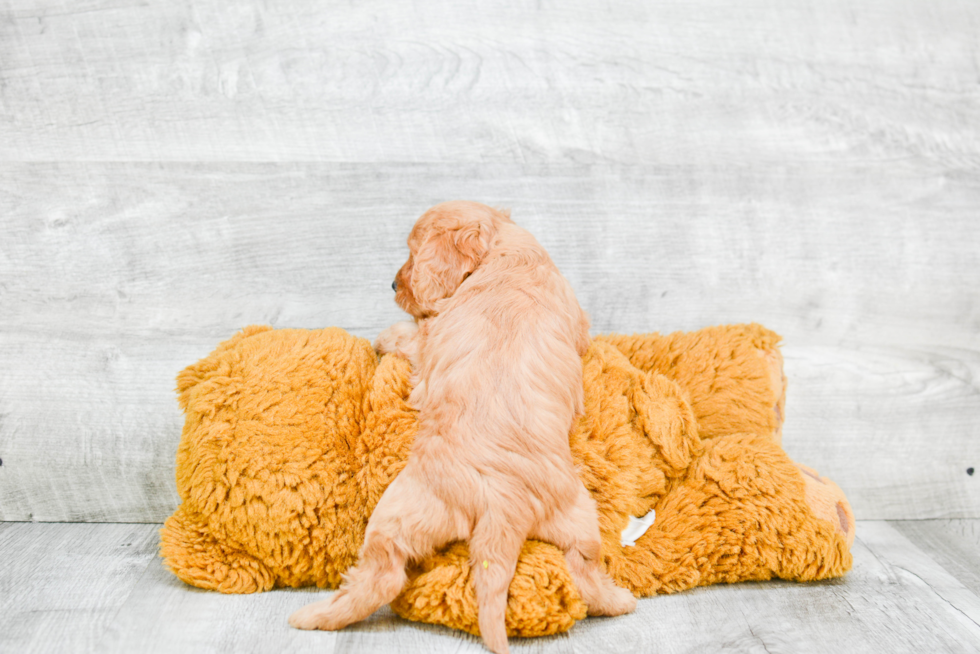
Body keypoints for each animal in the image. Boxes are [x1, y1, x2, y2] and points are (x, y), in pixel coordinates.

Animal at [286, 201, 636, 654]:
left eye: (413, 252)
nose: (393, 283)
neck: (503, 250)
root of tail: (504, 506)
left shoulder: (428, 337)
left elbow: (407, 333)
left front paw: (383, 336)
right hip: (577, 516)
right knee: (585, 570)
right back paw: (621, 601)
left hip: (399, 511)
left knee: (383, 576)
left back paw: (312, 616)